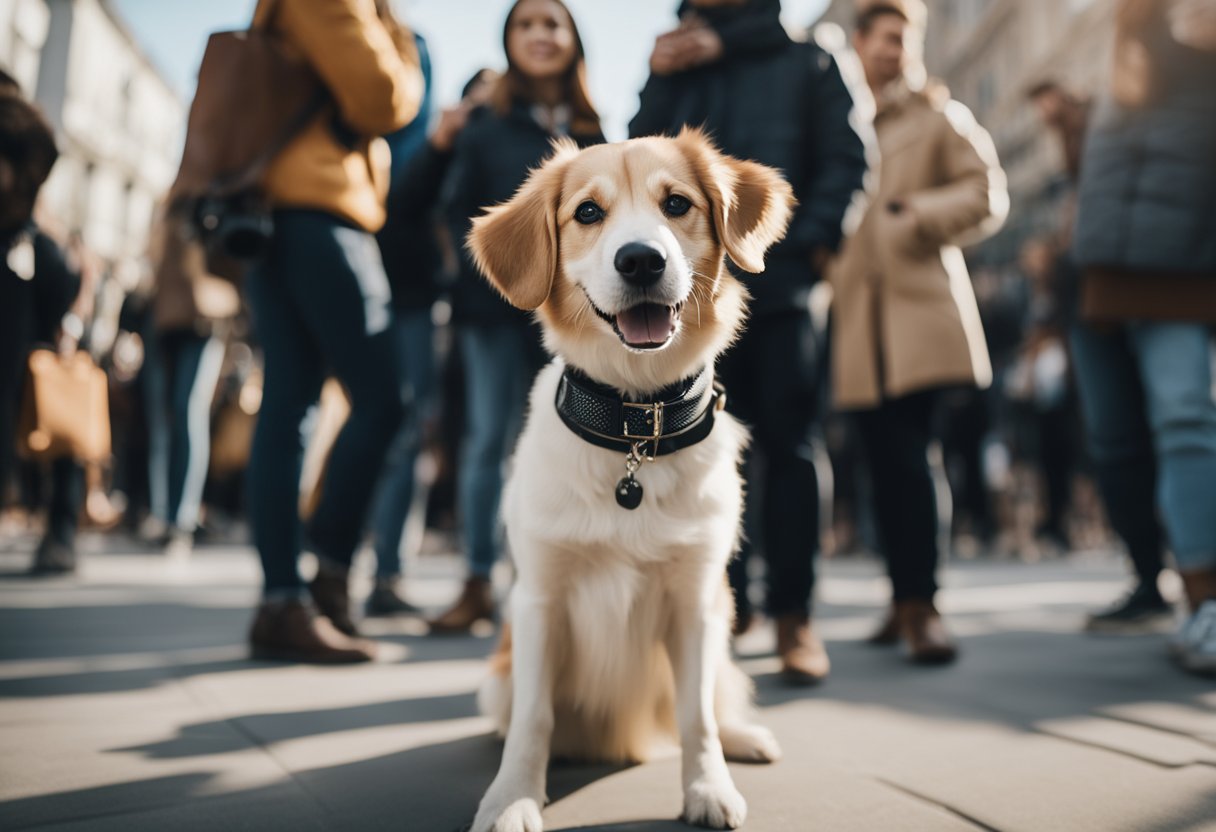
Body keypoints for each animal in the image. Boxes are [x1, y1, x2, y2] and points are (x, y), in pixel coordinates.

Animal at [459, 128, 792, 832]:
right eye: (588, 212)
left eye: (677, 204)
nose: (641, 260)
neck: (635, 425)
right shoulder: (539, 601)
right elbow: (533, 719)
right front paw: (512, 797)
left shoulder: (696, 602)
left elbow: (697, 717)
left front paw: (707, 788)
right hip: (496, 678)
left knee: (716, 702)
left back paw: (745, 737)